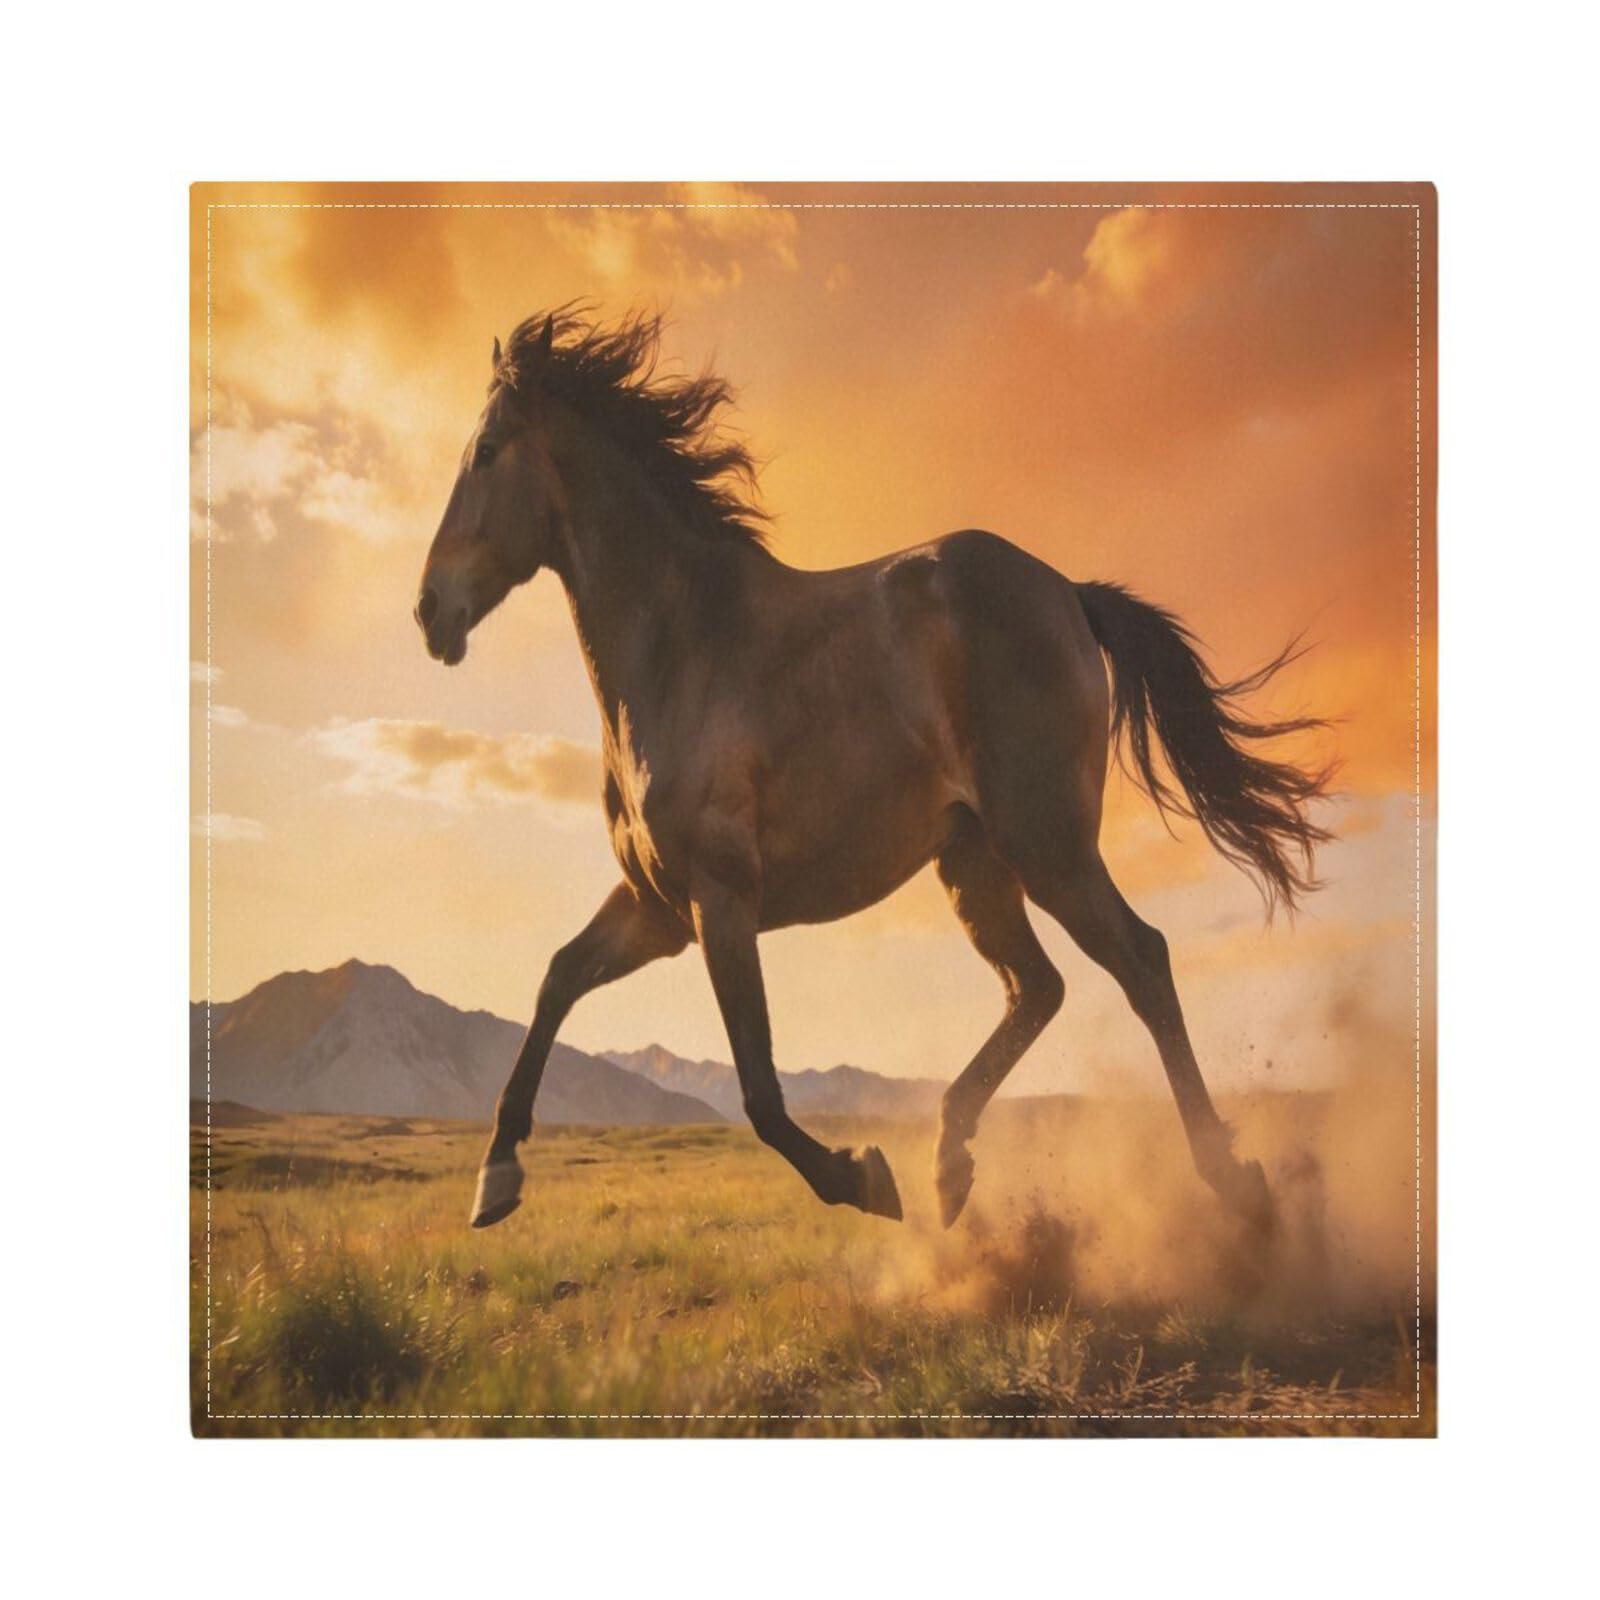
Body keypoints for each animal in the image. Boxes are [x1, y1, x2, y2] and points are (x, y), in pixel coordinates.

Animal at [414, 307, 1331, 1235]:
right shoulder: (658, 906)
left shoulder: (721, 898)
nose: (428, 610)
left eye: (486, 449)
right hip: (974, 863)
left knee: (1141, 962)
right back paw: (950, 1163)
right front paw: (496, 1178)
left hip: (1048, 845)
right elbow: (558, 979)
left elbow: (759, 1091)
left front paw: (859, 1175)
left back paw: (1231, 1180)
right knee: (1038, 987)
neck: (681, 646)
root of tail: (1070, 593)